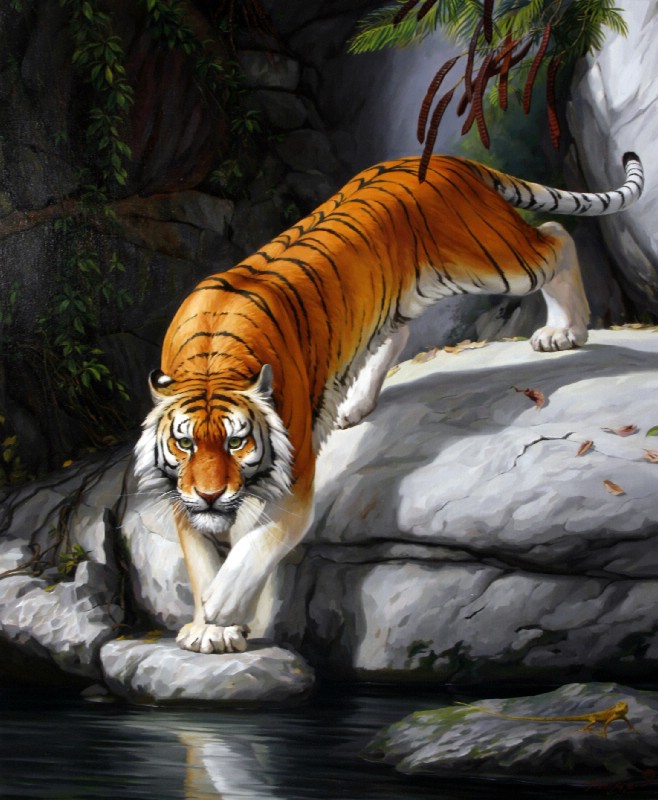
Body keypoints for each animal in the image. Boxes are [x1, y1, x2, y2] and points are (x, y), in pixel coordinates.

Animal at [134, 152, 644, 655]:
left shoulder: (291, 482)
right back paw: (354, 406)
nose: (210, 495)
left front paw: (222, 608)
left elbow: (254, 545)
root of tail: (441, 158)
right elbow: (202, 559)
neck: (212, 363)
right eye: (184, 444)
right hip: (406, 292)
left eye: (237, 442)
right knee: (397, 334)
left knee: (558, 237)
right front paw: (209, 626)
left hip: (493, 258)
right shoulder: (184, 494)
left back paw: (565, 331)